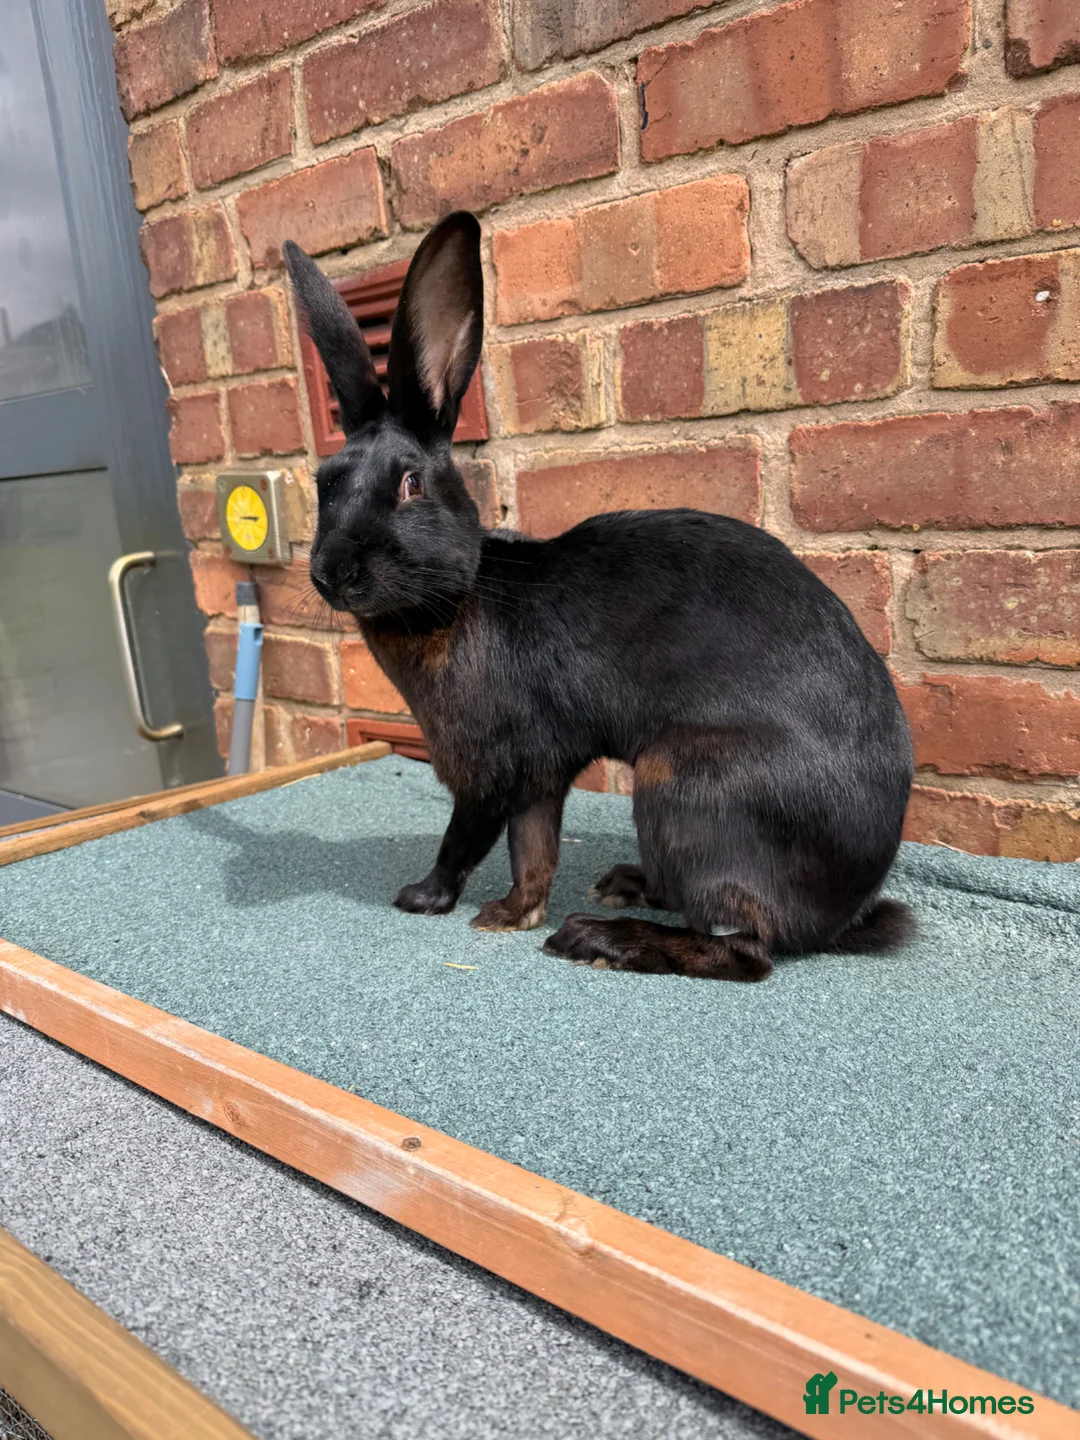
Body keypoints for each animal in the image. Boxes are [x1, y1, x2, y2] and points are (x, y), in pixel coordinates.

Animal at [283, 211, 915, 982]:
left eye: (409, 485)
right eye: (325, 484)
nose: (332, 572)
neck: (459, 601)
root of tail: (846, 911)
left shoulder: (492, 770)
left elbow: (466, 839)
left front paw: (424, 899)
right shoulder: (539, 774)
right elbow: (533, 852)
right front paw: (511, 915)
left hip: (683, 786)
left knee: (744, 951)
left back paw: (596, 936)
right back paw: (623, 885)